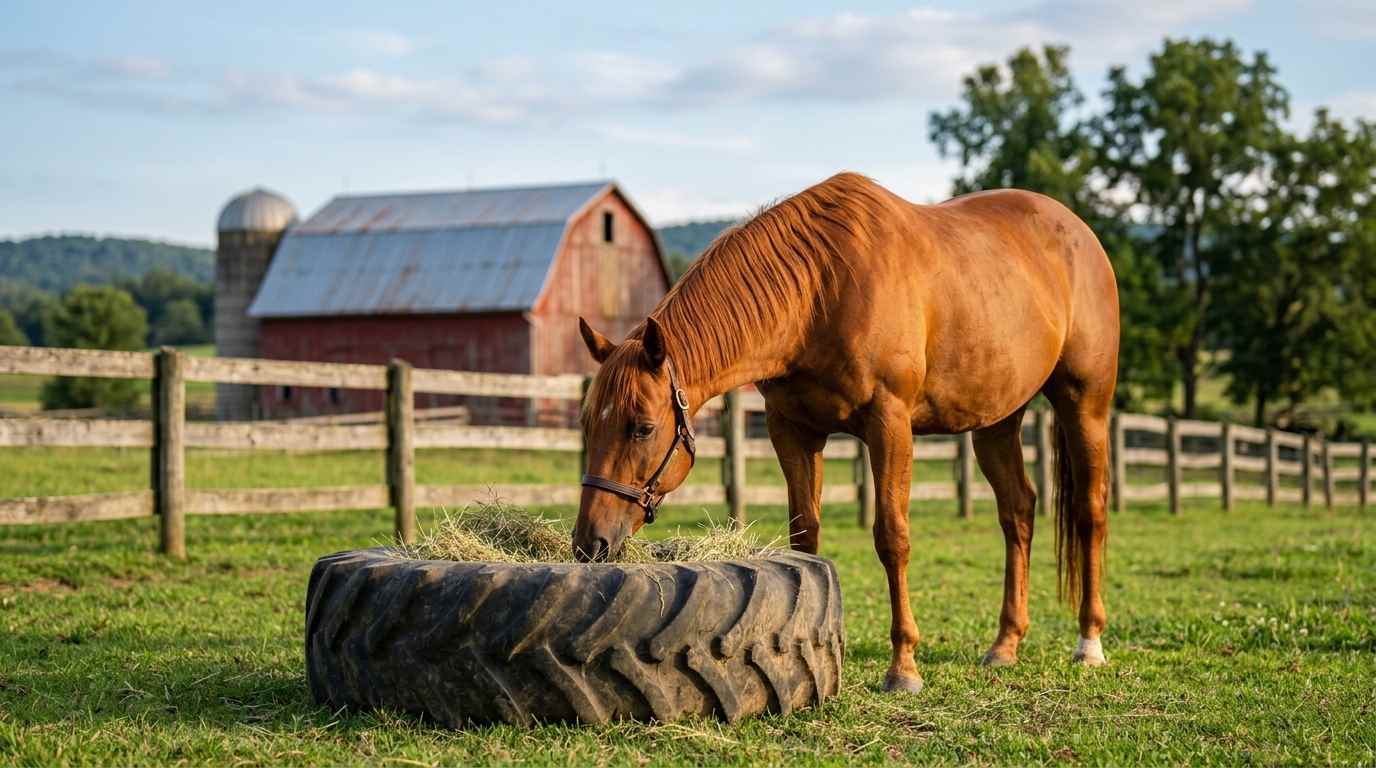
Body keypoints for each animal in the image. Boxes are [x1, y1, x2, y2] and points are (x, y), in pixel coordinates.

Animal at [573, 172, 1119, 693]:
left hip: (1085, 405)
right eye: (588, 422)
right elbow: (804, 539)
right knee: (1018, 512)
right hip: (996, 422)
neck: (819, 290)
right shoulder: (792, 430)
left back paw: (1089, 642)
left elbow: (892, 536)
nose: (589, 544)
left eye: (642, 428)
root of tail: (1080, 233)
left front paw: (903, 666)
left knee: (1090, 510)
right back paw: (1006, 643)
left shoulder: (889, 423)